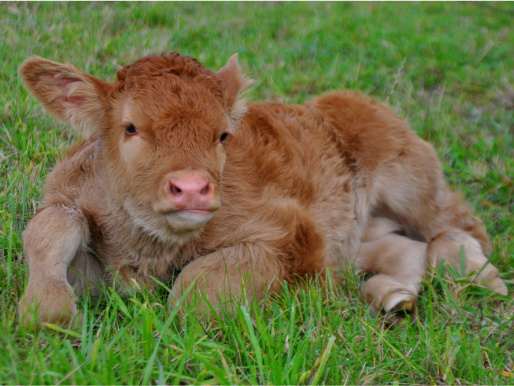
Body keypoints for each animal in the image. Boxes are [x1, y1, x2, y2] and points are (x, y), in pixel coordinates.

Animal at [17, 52, 504, 328]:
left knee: (459, 229)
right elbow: (49, 226)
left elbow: (194, 289)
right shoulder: (68, 199)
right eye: (131, 127)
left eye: (222, 136)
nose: (192, 188)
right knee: (396, 249)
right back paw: (392, 297)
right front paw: (46, 313)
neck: (151, 251)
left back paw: (481, 278)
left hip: (413, 184)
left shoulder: (292, 233)